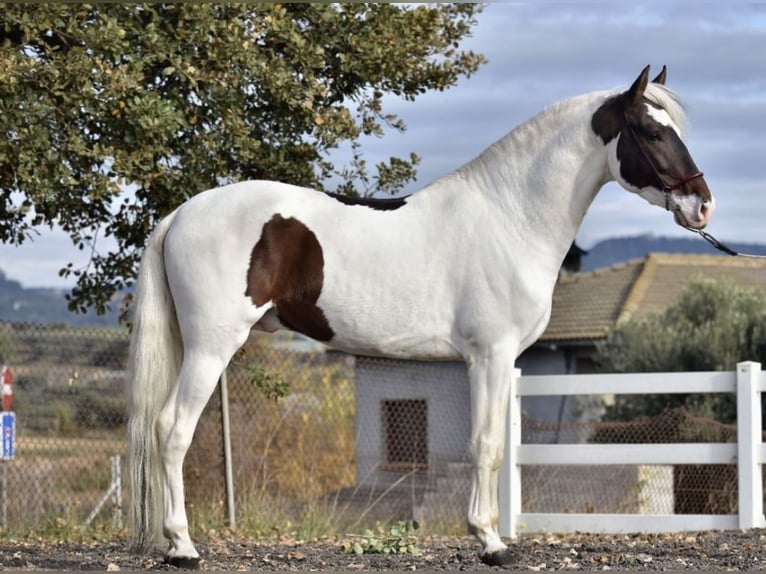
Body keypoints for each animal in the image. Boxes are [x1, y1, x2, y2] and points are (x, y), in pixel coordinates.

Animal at [127, 65, 714, 568]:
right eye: (651, 132)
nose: (702, 206)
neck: (510, 216)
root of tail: (182, 213)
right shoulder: (489, 355)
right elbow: (486, 447)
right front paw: (490, 543)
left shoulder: (502, 361)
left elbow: (492, 448)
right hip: (210, 347)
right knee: (171, 430)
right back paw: (183, 547)